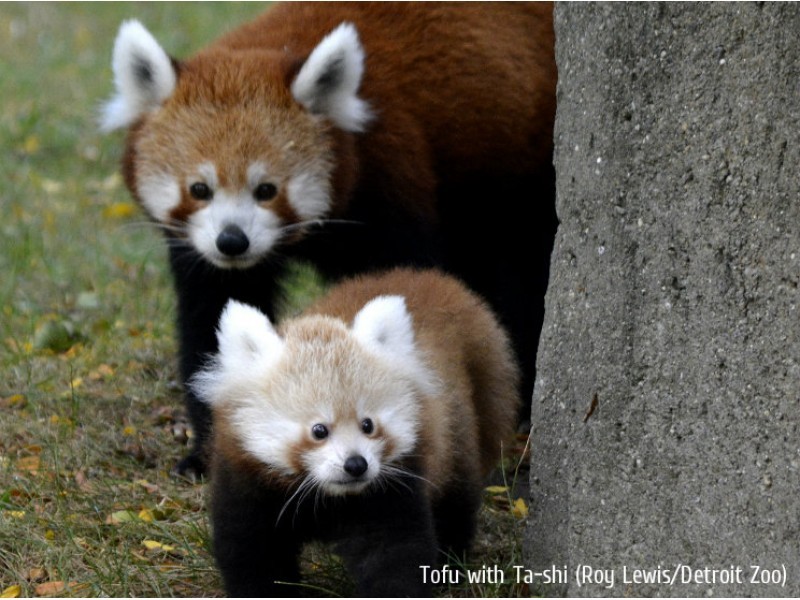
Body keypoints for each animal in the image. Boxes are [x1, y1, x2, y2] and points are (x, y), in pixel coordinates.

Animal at [103, 2, 556, 476]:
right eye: (199, 189)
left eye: (266, 189)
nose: (232, 241)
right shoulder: (206, 256)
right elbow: (212, 324)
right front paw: (213, 449)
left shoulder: (388, 183)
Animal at [192, 270, 520, 596]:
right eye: (319, 430)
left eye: (368, 425)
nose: (356, 465)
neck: (328, 497)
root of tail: (434, 279)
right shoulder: (246, 479)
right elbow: (253, 551)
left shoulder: (393, 484)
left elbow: (394, 553)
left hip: (458, 433)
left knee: (455, 503)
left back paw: (450, 565)